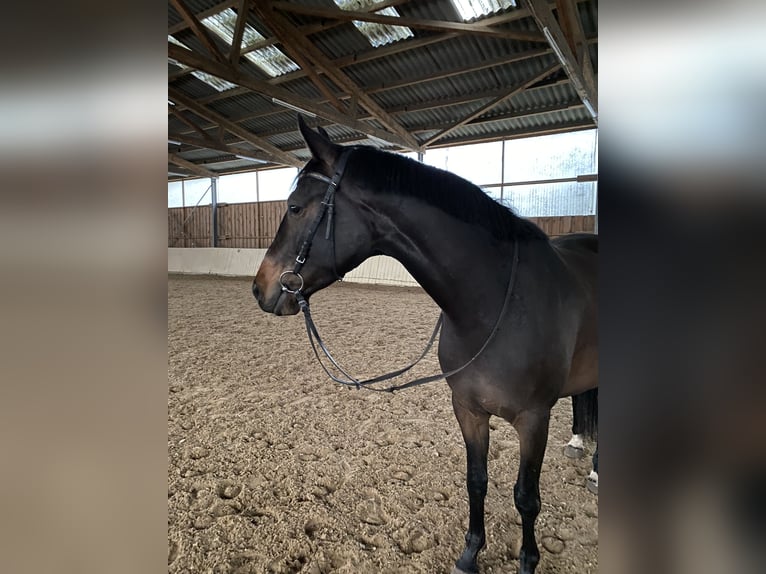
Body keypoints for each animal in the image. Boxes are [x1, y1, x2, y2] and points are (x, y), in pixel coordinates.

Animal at [254, 118, 600, 574]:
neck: (496, 303)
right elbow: (477, 481)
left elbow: (526, 498)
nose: (260, 288)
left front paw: (527, 560)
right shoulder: (468, 409)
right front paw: (470, 554)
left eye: (295, 207)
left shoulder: (533, 419)